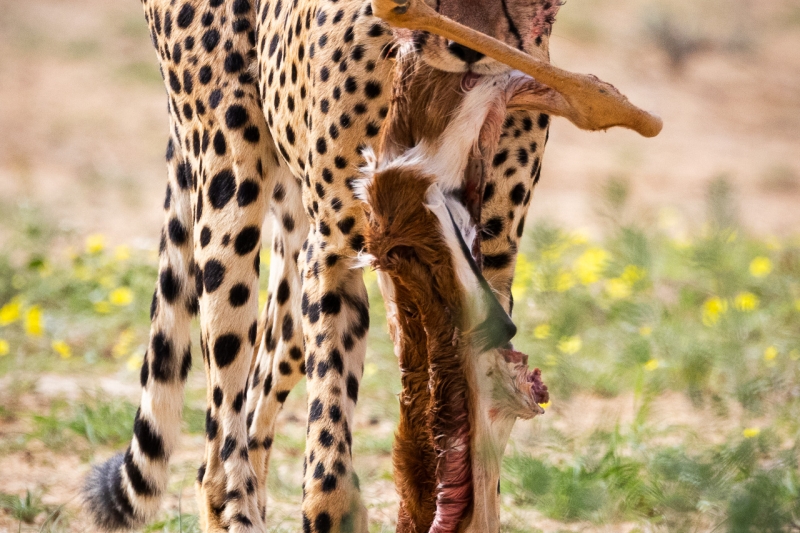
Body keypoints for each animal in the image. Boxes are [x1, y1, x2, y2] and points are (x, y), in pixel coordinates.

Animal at [82, 0, 557, 531]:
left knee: (258, 393)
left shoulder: (486, 265)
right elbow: (329, 448)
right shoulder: (335, 256)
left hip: (292, 268)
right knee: (222, 435)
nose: (469, 49)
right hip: (230, 194)